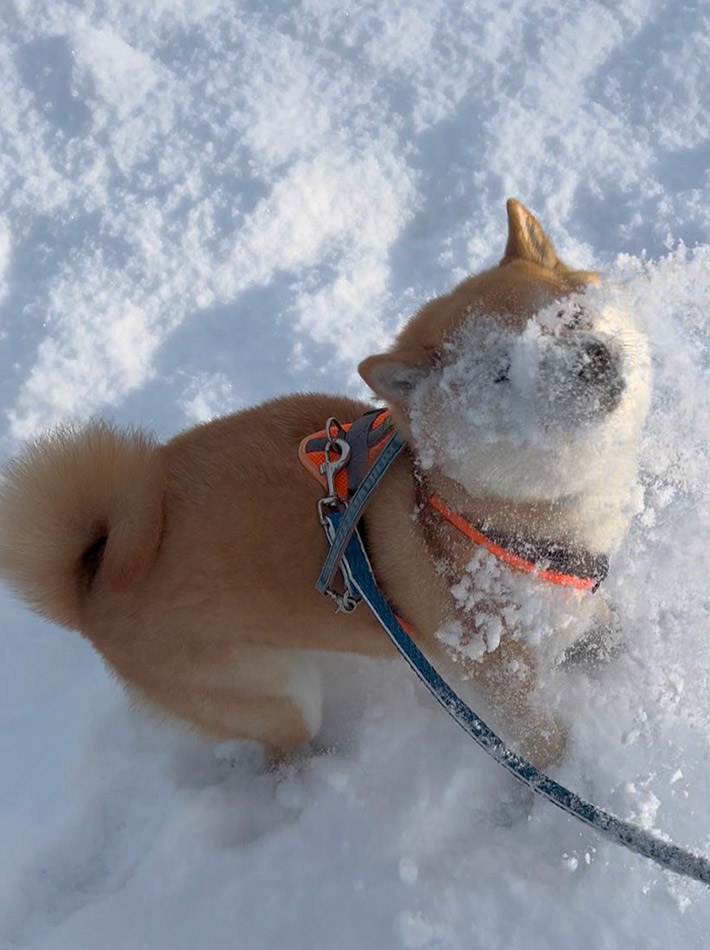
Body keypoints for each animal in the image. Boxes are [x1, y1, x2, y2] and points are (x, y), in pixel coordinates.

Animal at [0, 203, 652, 772]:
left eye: (569, 316)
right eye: (501, 372)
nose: (593, 359)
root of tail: (94, 583)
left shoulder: (578, 612)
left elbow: (611, 634)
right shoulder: (497, 674)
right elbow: (545, 750)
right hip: (280, 695)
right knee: (281, 750)